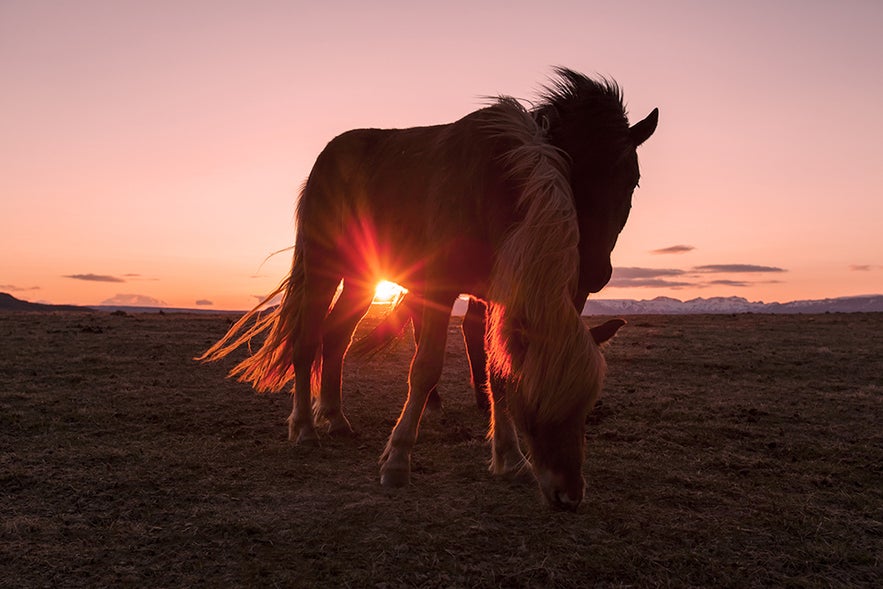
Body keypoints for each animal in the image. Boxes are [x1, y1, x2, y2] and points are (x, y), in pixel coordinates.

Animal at [199, 70, 656, 510]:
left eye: (632, 180)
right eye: (535, 408)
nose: (569, 496)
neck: (494, 184)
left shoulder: (494, 297)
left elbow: (496, 372)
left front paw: (509, 458)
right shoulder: (439, 289)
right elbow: (425, 368)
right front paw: (398, 459)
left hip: (363, 277)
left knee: (336, 335)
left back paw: (335, 417)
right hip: (324, 264)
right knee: (308, 338)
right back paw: (305, 428)